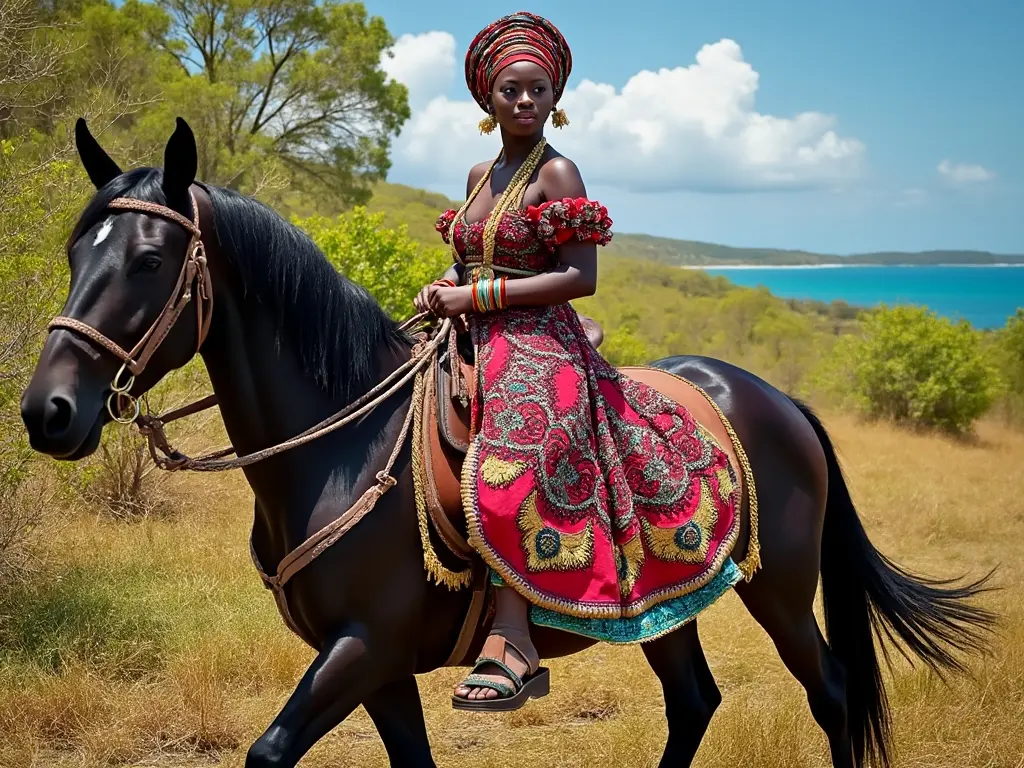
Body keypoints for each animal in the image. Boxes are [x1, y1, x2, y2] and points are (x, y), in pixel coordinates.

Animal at [19, 120, 995, 768]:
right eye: (73, 253)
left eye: (149, 262)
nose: (48, 411)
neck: (340, 441)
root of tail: (776, 398)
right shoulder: (377, 667)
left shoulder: (363, 647)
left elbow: (268, 751)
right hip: (668, 605)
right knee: (694, 701)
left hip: (784, 590)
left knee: (829, 693)